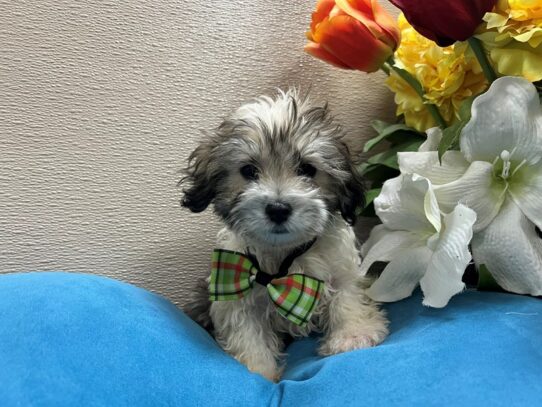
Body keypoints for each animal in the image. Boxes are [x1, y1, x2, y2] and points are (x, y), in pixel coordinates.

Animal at [181, 90, 388, 382]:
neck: (284, 259)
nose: (278, 209)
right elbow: (247, 331)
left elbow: (346, 295)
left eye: (307, 169)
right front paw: (258, 368)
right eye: (249, 171)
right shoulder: (233, 287)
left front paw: (352, 335)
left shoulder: (342, 268)